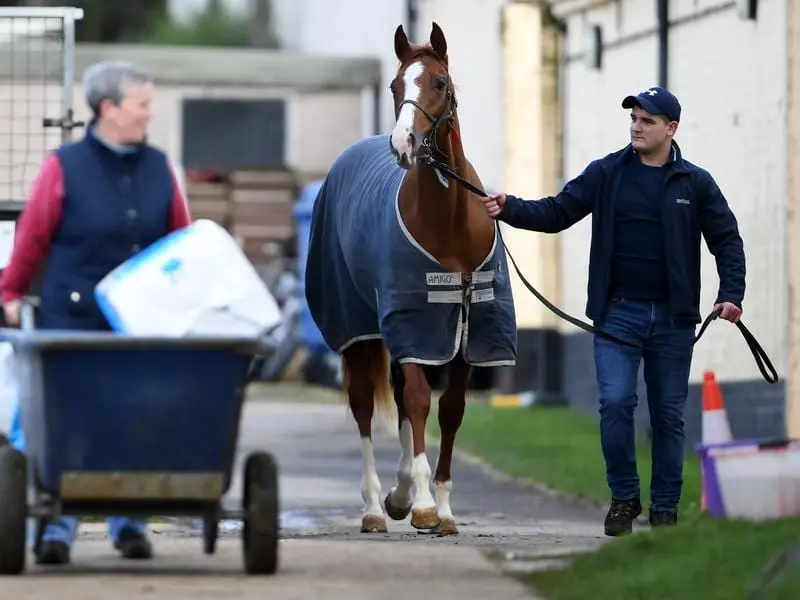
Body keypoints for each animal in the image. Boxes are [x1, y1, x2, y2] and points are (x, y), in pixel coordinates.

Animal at [304, 22, 516, 536]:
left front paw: (442, 508)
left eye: (439, 82)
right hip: (358, 327)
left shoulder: (467, 331)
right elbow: (420, 400)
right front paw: (421, 503)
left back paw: (397, 495)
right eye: (395, 86)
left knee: (399, 396)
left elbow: (451, 409)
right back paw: (376, 506)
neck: (450, 225)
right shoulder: (412, 319)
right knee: (364, 403)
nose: (403, 144)